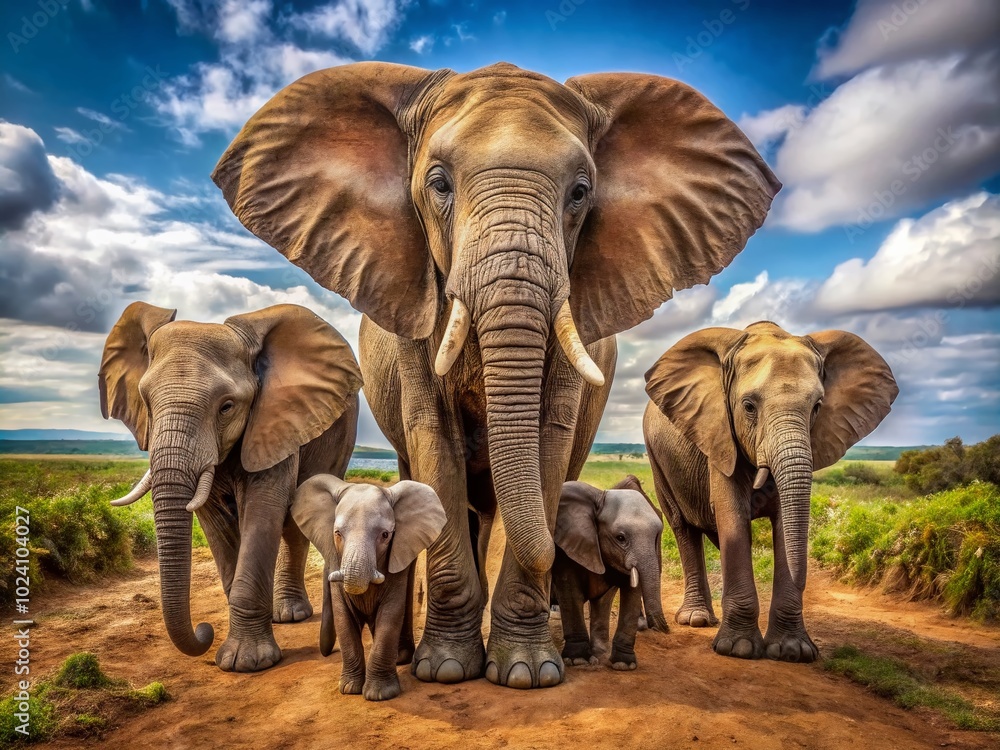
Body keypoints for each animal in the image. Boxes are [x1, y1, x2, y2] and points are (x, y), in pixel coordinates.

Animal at [99, 301, 362, 672]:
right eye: (146, 402)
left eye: (226, 407)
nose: (204, 629)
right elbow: (215, 521)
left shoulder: (275, 420)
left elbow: (263, 506)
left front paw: (246, 662)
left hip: (340, 436)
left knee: (295, 523)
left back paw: (290, 614)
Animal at [290, 475, 446, 701]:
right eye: (337, 534)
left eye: (385, 535)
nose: (325, 652)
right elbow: (343, 617)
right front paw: (349, 689)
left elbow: (390, 614)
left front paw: (379, 694)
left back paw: (399, 658)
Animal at [552, 476, 668, 671]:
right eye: (620, 538)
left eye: (656, 537)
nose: (663, 630)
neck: (600, 495)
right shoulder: (566, 548)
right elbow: (570, 590)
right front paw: (578, 660)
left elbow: (622, 595)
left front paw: (620, 663)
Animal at [643, 321, 898, 662]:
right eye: (749, 407)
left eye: (817, 407)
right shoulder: (720, 438)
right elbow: (731, 515)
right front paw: (737, 649)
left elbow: (783, 526)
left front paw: (794, 652)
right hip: (657, 459)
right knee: (683, 527)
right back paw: (696, 620)